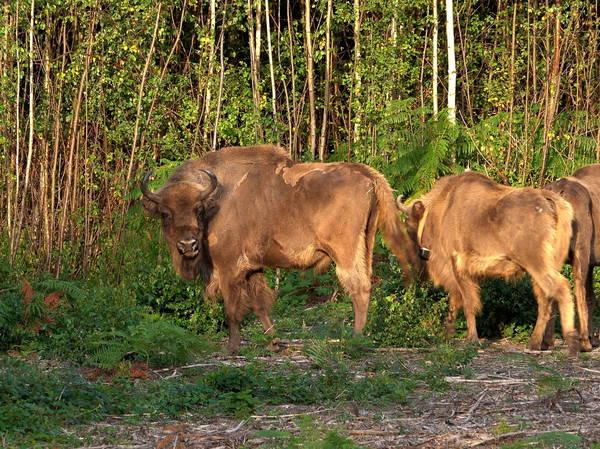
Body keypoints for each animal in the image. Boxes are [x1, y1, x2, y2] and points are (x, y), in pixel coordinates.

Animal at [139, 145, 418, 352]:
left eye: (198, 209)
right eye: (165, 213)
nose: (188, 245)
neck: (215, 201)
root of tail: (366, 173)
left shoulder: (229, 267)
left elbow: (232, 308)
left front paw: (231, 347)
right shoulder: (252, 268)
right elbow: (260, 304)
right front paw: (273, 341)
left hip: (345, 253)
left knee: (358, 287)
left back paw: (354, 339)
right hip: (366, 244)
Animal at [396, 171, 580, 354]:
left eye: (409, 224)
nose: (417, 256)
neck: (443, 207)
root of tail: (548, 199)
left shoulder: (457, 265)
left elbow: (468, 303)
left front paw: (471, 339)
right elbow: (456, 301)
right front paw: (446, 334)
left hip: (536, 264)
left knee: (560, 288)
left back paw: (571, 342)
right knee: (546, 299)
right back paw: (535, 343)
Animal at [544, 163, 600, 352]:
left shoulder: (592, 262)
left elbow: (592, 298)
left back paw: (547, 341)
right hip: (580, 249)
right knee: (577, 288)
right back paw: (584, 342)